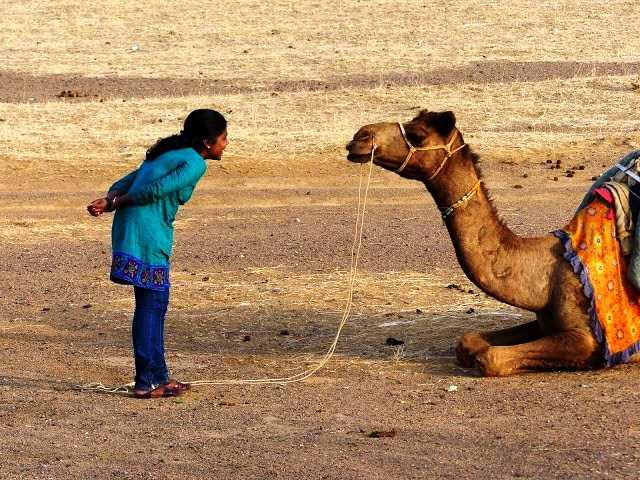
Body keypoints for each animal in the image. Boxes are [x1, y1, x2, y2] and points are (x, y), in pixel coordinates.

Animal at [345, 109, 609, 377]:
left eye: (417, 134)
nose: (360, 136)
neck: (545, 275)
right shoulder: (543, 323)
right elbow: (468, 341)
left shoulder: (586, 338)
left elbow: (489, 357)